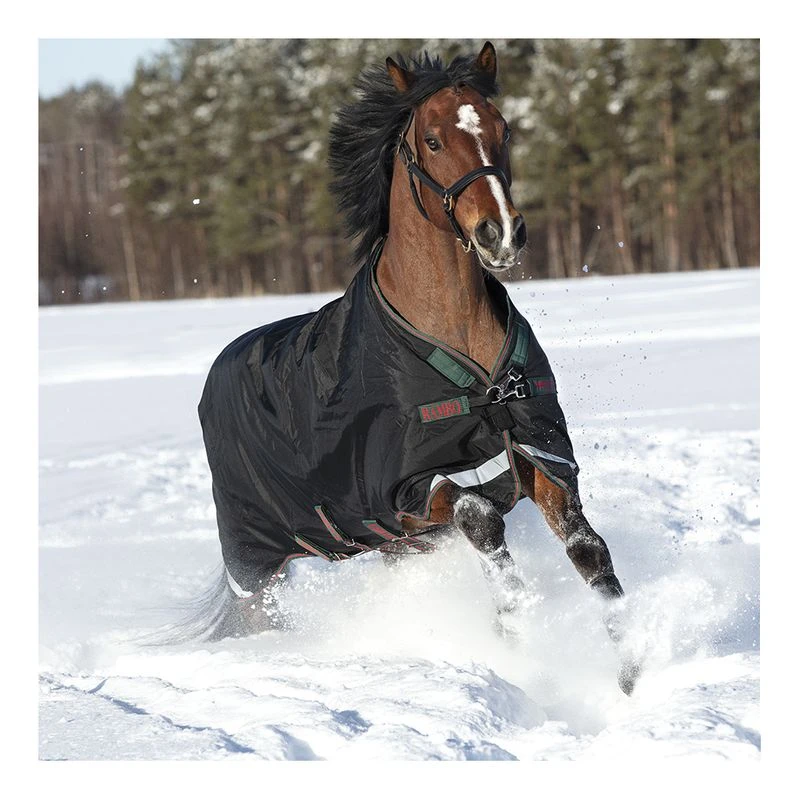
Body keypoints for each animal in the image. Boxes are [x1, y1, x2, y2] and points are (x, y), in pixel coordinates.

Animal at [186, 42, 639, 695]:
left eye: (505, 128)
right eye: (431, 139)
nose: (500, 233)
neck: (478, 377)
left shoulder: (539, 454)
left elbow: (589, 550)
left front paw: (630, 676)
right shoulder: (412, 488)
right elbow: (484, 525)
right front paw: (519, 644)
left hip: (398, 548)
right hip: (256, 564)